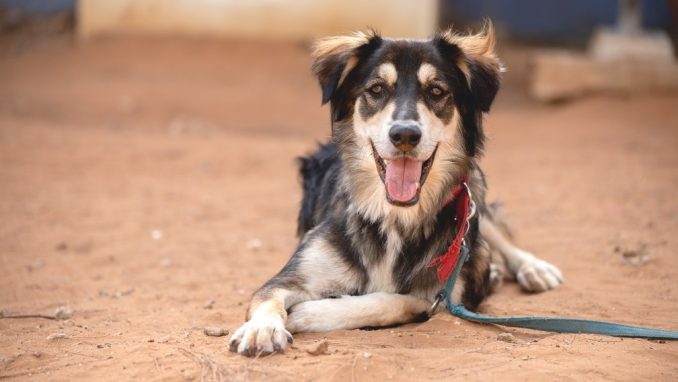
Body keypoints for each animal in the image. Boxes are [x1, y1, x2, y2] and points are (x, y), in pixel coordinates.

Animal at [228, 23, 564, 358]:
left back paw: (532, 267)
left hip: (472, 195)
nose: (405, 134)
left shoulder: (441, 296)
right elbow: (267, 298)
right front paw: (262, 328)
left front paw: (309, 312)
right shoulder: (289, 277)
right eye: (377, 89)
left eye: (436, 91)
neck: (394, 217)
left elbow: (392, 300)